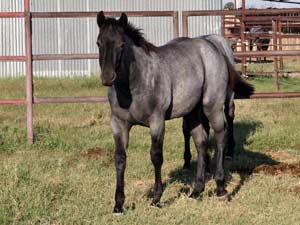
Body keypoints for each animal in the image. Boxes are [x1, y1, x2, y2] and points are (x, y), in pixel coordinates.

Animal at [95, 11, 253, 213]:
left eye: (121, 45)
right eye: (99, 43)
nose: (107, 78)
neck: (135, 84)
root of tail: (214, 47)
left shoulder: (157, 122)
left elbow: (156, 157)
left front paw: (156, 198)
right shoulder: (118, 124)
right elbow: (120, 158)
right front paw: (118, 205)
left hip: (212, 106)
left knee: (220, 136)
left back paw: (220, 188)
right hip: (193, 112)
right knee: (201, 141)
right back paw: (197, 191)